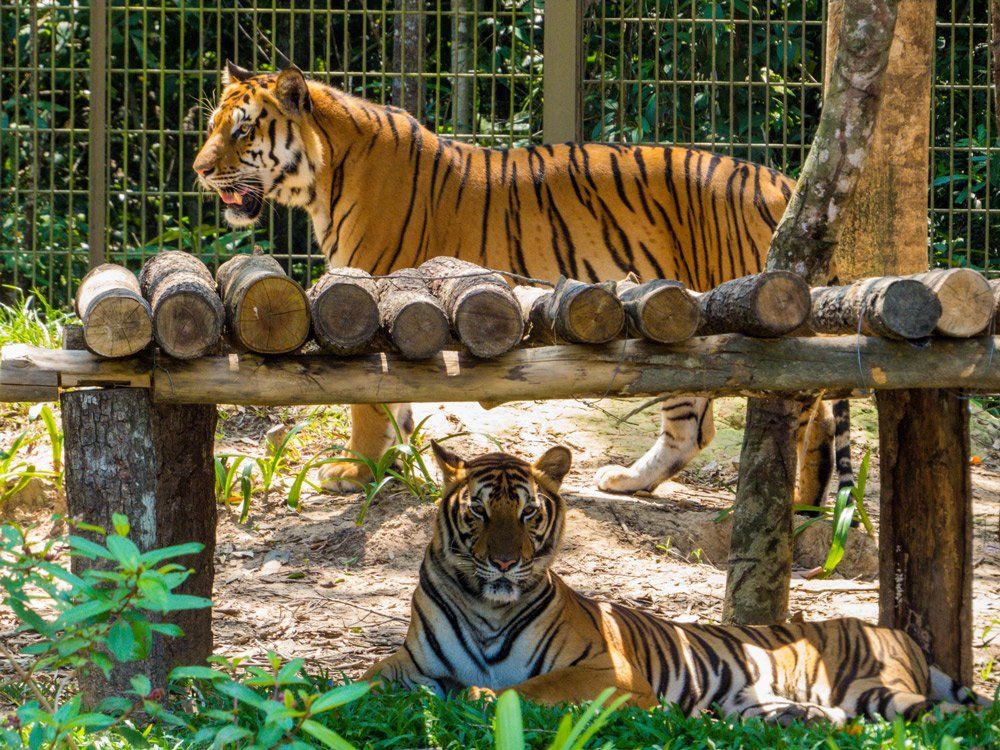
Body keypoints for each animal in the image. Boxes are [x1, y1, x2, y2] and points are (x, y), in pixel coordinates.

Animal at [192, 62, 844, 506]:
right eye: (213, 127)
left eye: (243, 132)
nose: (198, 169)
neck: (324, 176)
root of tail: (783, 181)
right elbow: (398, 402)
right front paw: (398, 467)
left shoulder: (371, 292)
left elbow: (368, 402)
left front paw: (356, 470)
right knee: (695, 424)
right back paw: (630, 481)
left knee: (805, 407)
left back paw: (797, 503)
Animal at [362, 443, 989, 723]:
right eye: (479, 512)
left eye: (527, 513)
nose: (504, 563)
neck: (488, 609)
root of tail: (897, 632)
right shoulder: (406, 664)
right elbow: (359, 685)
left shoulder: (607, 672)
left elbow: (526, 689)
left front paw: (476, 695)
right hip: (760, 702)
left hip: (872, 687)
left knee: (953, 715)